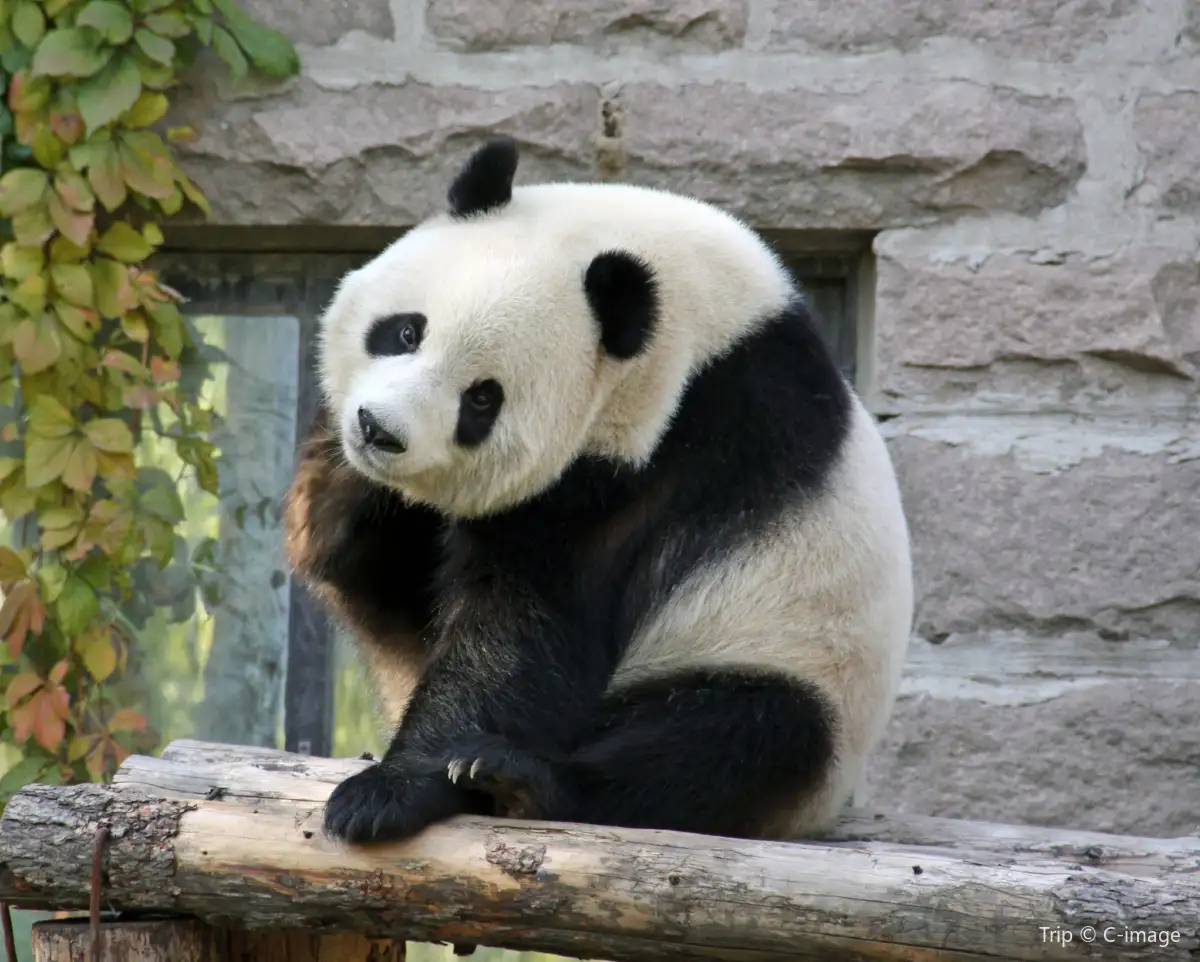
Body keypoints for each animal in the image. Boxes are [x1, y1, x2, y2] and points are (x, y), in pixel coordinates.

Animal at [282, 136, 914, 846]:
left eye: (482, 399)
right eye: (407, 331)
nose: (379, 431)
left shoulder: (663, 463)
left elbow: (527, 634)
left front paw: (387, 792)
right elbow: (369, 573)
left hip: (791, 661)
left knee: (737, 737)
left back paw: (519, 780)